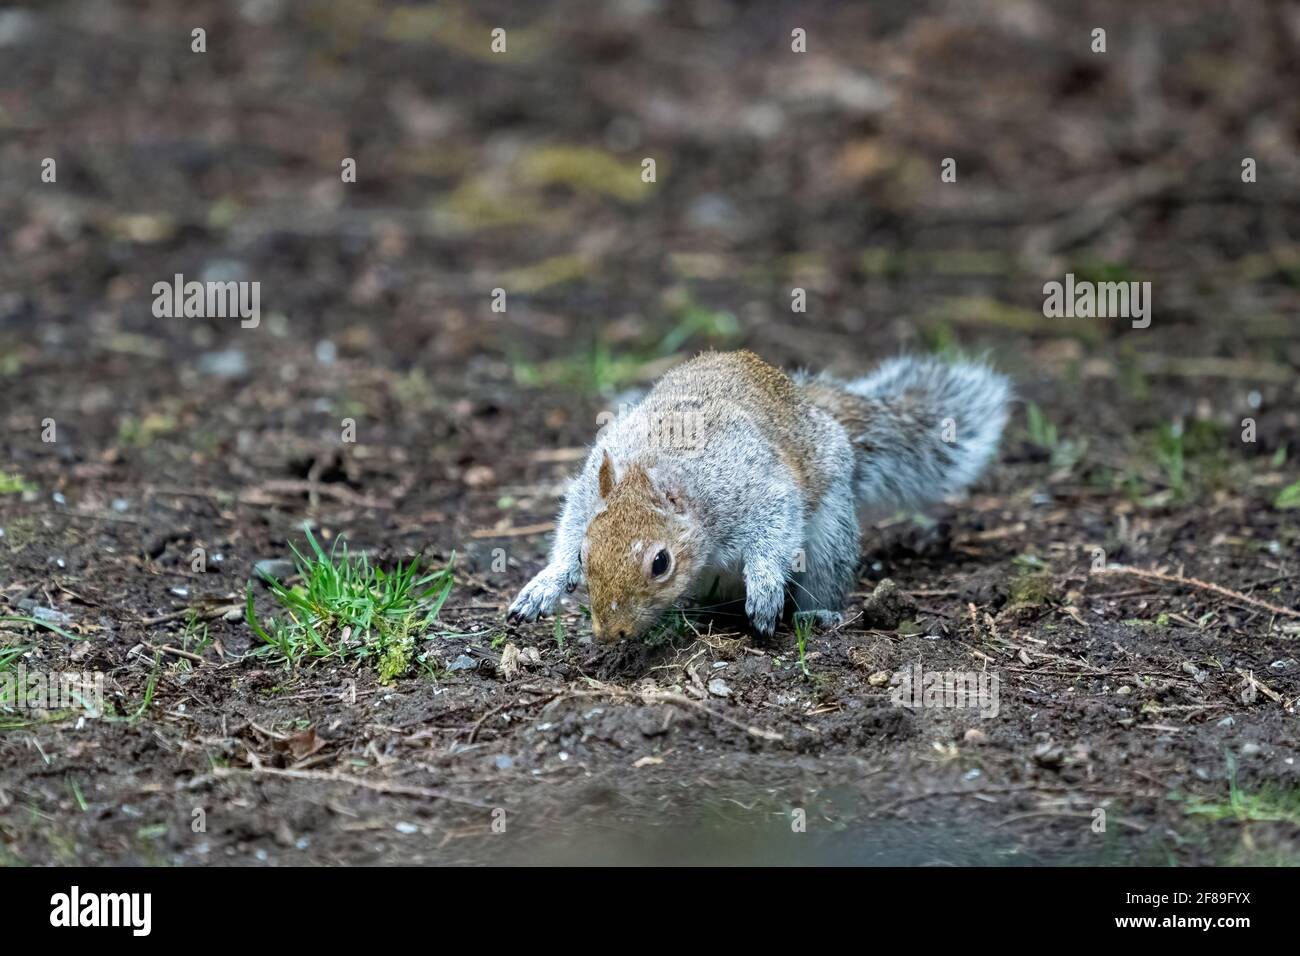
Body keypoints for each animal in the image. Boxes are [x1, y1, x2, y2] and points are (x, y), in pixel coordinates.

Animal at [508, 350, 1010, 643]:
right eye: (585, 555)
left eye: (660, 563)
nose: (611, 633)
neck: (657, 467)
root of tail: (815, 409)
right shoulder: (588, 492)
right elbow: (567, 529)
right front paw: (545, 584)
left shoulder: (756, 489)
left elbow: (775, 529)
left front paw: (765, 590)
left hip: (829, 535)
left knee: (825, 575)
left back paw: (817, 614)